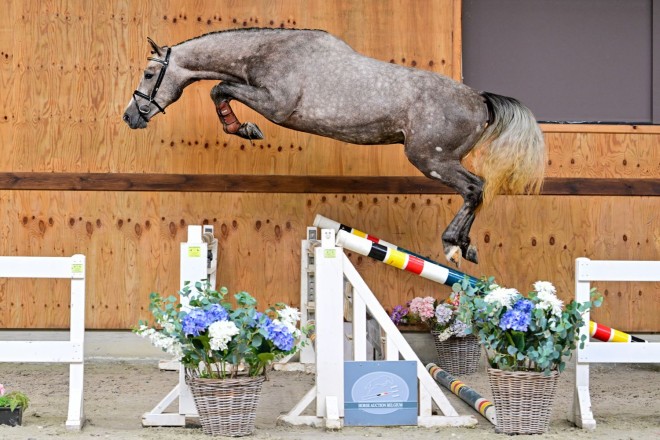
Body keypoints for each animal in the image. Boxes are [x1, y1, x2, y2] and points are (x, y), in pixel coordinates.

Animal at [123, 28, 545, 265]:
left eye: (149, 73)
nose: (130, 116)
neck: (268, 50)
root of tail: (481, 100)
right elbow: (221, 89)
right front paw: (241, 127)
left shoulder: (276, 105)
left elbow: (219, 88)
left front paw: (244, 128)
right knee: (478, 191)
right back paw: (468, 246)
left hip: (430, 159)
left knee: (475, 188)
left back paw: (453, 245)